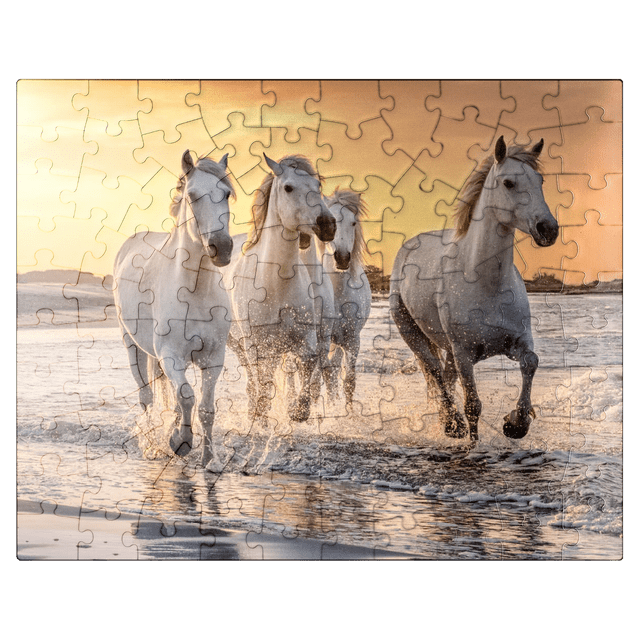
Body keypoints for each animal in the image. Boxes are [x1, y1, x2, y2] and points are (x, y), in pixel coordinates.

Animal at [113, 151, 234, 465]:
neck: (195, 291)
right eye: (192, 195)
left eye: (227, 194)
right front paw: (180, 441)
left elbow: (205, 407)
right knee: (147, 398)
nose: (222, 248)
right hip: (133, 347)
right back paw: (153, 442)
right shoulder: (171, 357)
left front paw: (209, 459)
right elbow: (188, 397)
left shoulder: (213, 359)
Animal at [225, 154, 336, 425]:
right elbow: (262, 383)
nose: (328, 225)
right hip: (238, 344)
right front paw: (261, 416)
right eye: (288, 187)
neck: (277, 284)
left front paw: (297, 410)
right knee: (253, 379)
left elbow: (308, 365)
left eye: (318, 186)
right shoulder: (256, 346)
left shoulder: (305, 341)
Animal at [390, 136, 559, 441]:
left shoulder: (517, 342)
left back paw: (447, 421)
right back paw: (452, 423)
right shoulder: (464, 354)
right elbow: (473, 406)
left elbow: (531, 362)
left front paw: (516, 423)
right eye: (508, 183)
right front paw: (474, 441)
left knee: (445, 377)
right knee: (435, 372)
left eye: (540, 180)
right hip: (412, 333)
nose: (548, 229)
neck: (486, 285)